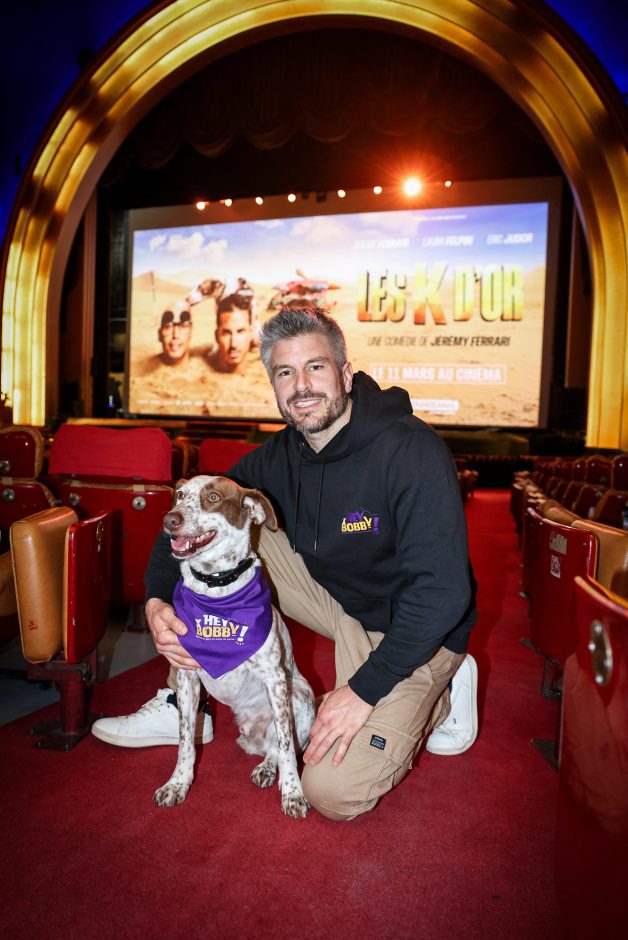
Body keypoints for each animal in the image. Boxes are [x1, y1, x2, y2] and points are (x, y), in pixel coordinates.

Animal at [153, 475, 315, 818]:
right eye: (179, 495)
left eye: (213, 497)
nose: (170, 520)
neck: (216, 588)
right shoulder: (187, 678)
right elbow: (185, 741)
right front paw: (178, 784)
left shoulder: (276, 680)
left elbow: (286, 746)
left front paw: (293, 793)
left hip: (299, 697)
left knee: (280, 747)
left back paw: (268, 769)